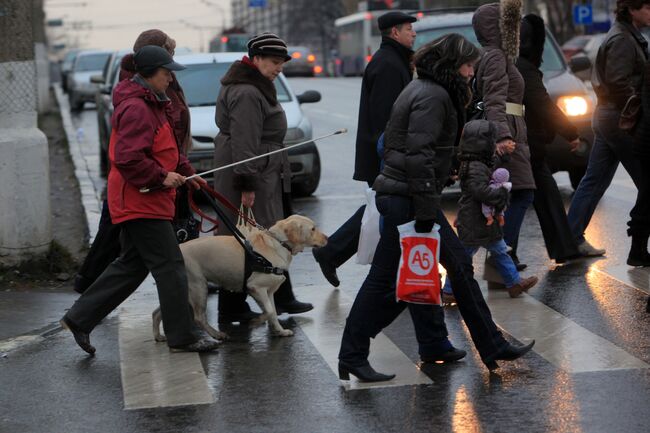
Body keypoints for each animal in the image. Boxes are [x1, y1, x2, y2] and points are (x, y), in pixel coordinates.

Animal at [151, 213, 324, 340]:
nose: (326, 239)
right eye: (313, 228)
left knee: (158, 312)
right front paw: (256, 322)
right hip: (198, 286)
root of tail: (178, 248)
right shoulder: (256, 287)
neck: (277, 244)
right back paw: (217, 335)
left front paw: (279, 331)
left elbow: (273, 312)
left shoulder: (268, 292)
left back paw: (158, 336)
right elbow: (269, 311)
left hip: (185, 289)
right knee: (199, 318)